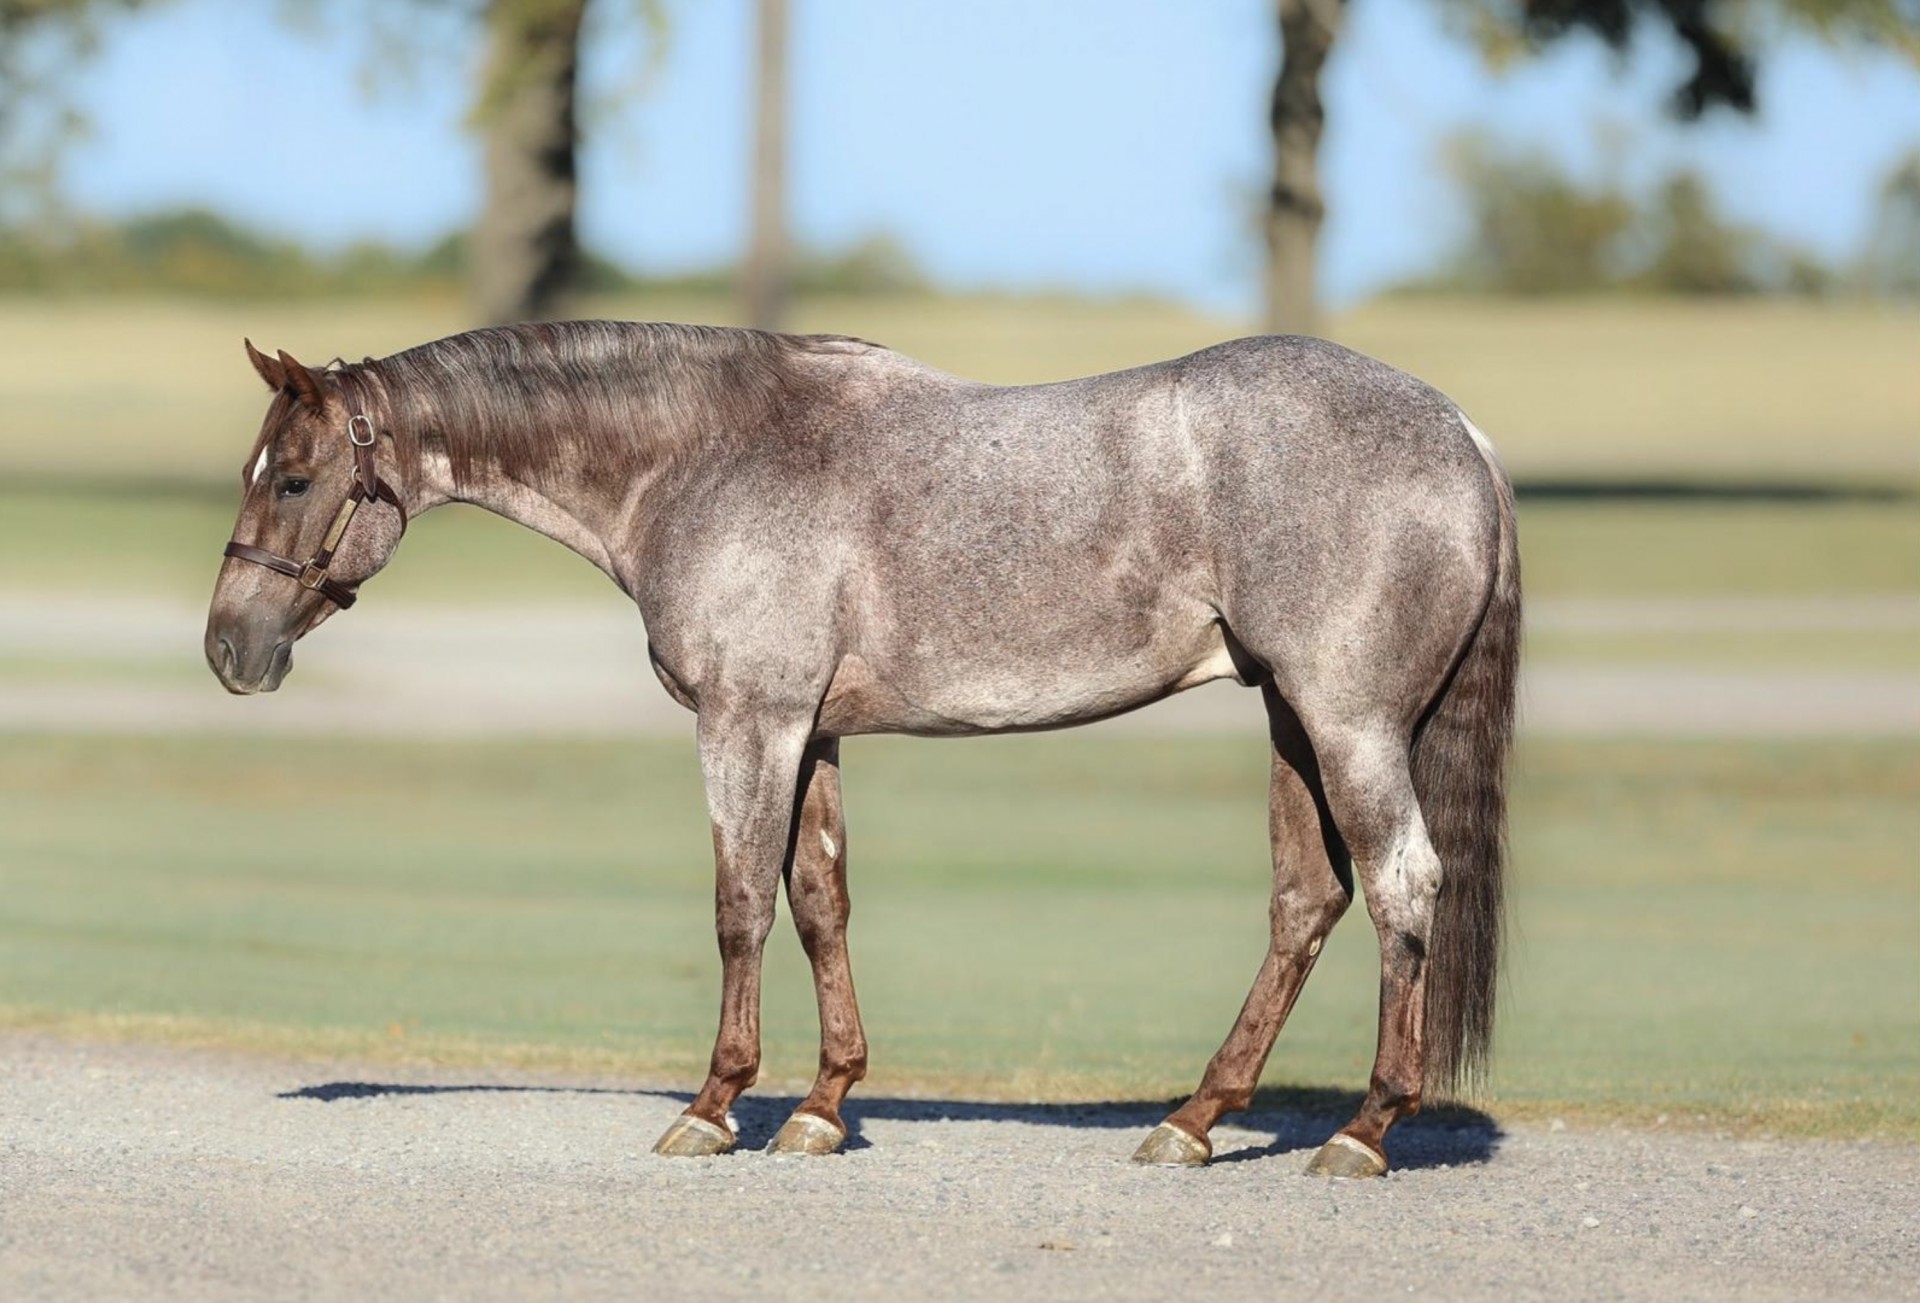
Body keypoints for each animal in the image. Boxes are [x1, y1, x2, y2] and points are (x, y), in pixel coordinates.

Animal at [210, 320, 1520, 1174]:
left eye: (296, 477)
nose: (230, 648)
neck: (706, 456)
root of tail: (1461, 431)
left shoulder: (749, 721)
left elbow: (741, 903)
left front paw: (714, 1105)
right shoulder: (814, 731)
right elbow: (818, 901)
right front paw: (825, 1105)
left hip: (1347, 723)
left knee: (1402, 885)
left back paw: (1362, 1131)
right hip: (1292, 718)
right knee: (1306, 900)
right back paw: (1194, 1120)